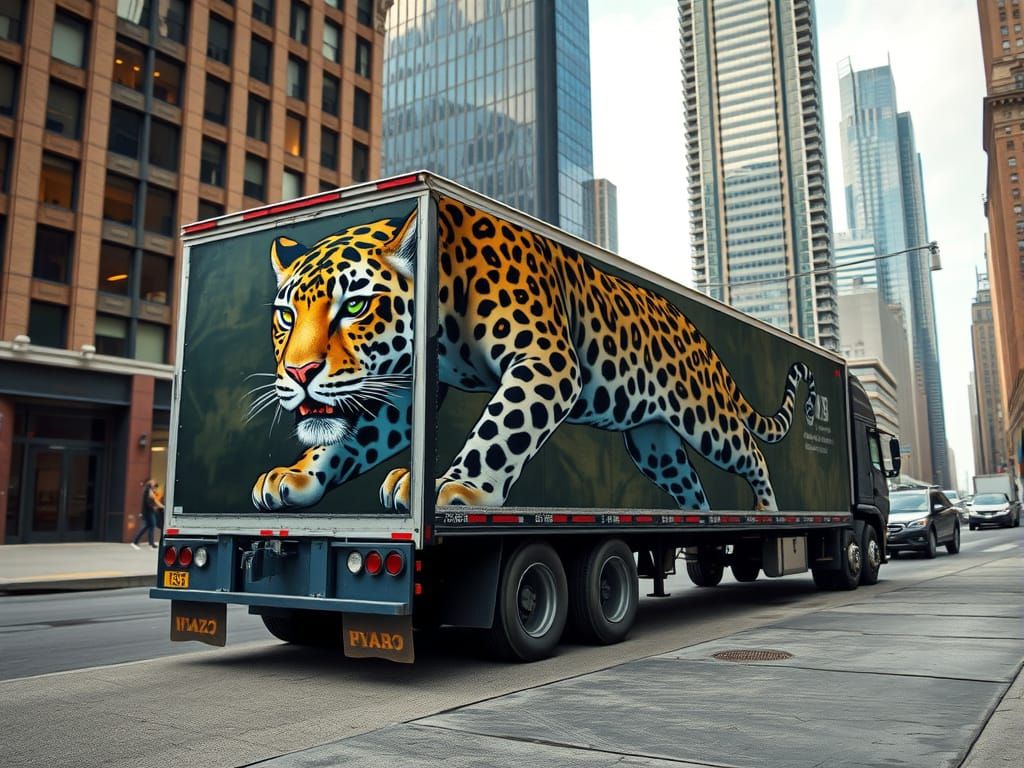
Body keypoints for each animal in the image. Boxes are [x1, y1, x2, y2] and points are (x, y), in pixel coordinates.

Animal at [251, 196, 816, 514]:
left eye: (355, 305)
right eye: (287, 316)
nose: (299, 371)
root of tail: (694, 329)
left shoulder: (547, 362)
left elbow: (499, 431)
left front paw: (455, 487)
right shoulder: (412, 389)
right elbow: (355, 437)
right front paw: (298, 477)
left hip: (704, 418)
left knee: (750, 451)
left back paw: (766, 511)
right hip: (652, 443)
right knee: (690, 483)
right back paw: (699, 518)